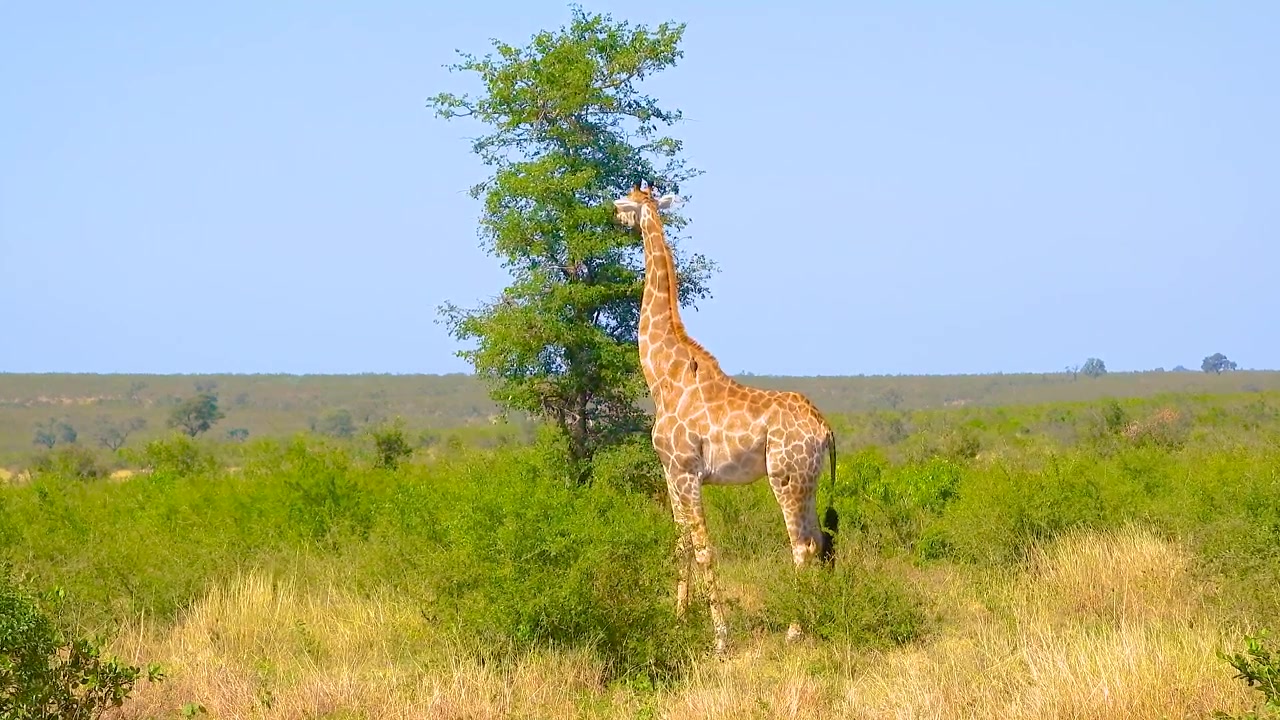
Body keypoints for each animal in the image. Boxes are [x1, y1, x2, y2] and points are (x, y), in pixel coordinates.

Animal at [612, 180, 840, 655]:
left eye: (623, 200)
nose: (614, 217)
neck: (663, 375)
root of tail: (825, 429)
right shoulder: (669, 472)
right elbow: (680, 545)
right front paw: (679, 622)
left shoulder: (687, 472)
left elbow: (704, 549)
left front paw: (720, 638)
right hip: (806, 482)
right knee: (820, 540)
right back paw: (816, 620)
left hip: (785, 478)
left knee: (802, 546)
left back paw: (794, 630)